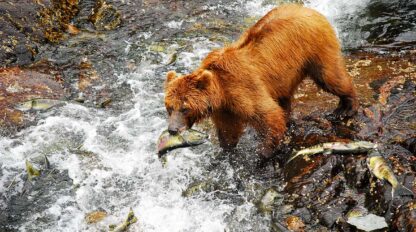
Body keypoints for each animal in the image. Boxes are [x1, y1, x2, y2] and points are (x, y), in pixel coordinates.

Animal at [164, 4, 360, 158]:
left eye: (185, 107)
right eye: (169, 107)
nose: (172, 129)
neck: (221, 92)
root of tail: (311, 10)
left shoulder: (242, 88)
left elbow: (268, 115)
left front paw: (264, 152)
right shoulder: (225, 109)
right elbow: (229, 131)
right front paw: (227, 150)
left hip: (315, 50)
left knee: (330, 77)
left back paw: (345, 108)